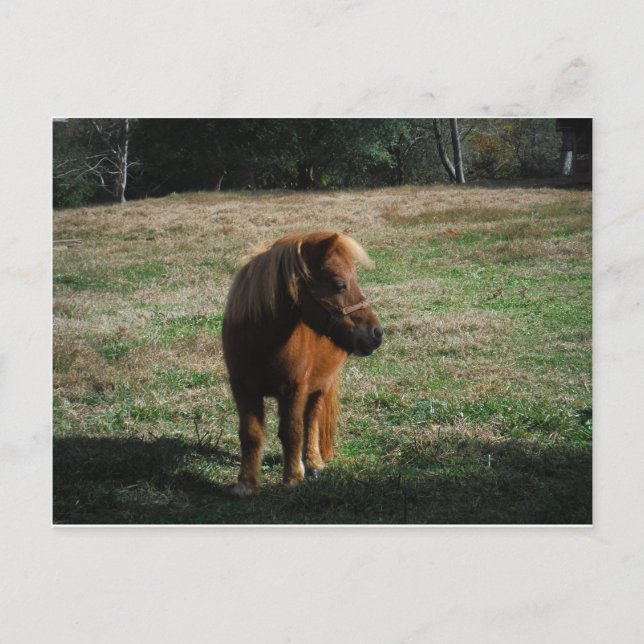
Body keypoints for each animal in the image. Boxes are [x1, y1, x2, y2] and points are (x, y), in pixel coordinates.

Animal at [222, 231, 383, 497]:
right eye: (339, 284)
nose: (377, 333)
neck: (262, 342)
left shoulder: (295, 388)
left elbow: (292, 431)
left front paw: (292, 478)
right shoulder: (242, 388)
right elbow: (250, 435)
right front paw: (246, 485)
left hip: (320, 385)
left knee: (311, 420)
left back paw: (312, 462)